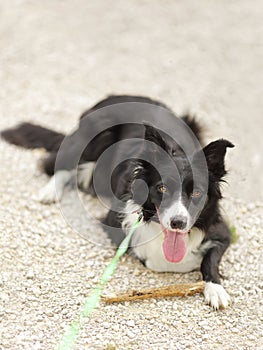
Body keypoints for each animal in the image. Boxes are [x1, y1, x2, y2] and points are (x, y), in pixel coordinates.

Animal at [1, 95, 234, 308]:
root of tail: (115, 96)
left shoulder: (221, 230)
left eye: (197, 193)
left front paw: (215, 288)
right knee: (58, 163)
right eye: (162, 188)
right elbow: (158, 259)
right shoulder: (116, 225)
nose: (178, 223)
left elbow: (210, 259)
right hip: (90, 138)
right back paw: (50, 191)